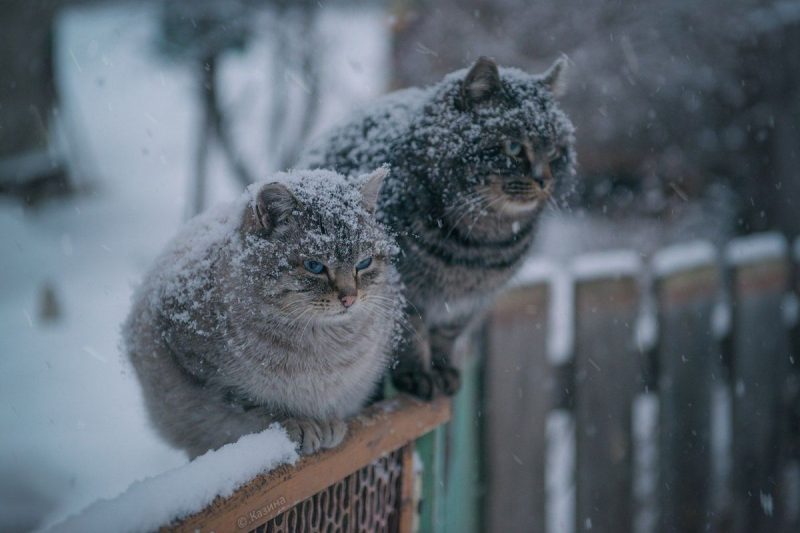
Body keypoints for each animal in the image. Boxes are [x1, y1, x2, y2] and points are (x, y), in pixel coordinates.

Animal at [122, 167, 404, 458]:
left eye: (364, 263)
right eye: (314, 266)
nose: (349, 298)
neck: (321, 344)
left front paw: (326, 422)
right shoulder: (204, 372)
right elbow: (255, 406)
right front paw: (300, 423)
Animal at [300, 57, 576, 400]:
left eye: (554, 151)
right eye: (513, 147)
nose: (544, 180)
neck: (481, 246)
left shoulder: (469, 303)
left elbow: (446, 336)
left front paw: (443, 371)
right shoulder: (404, 290)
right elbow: (410, 335)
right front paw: (418, 375)